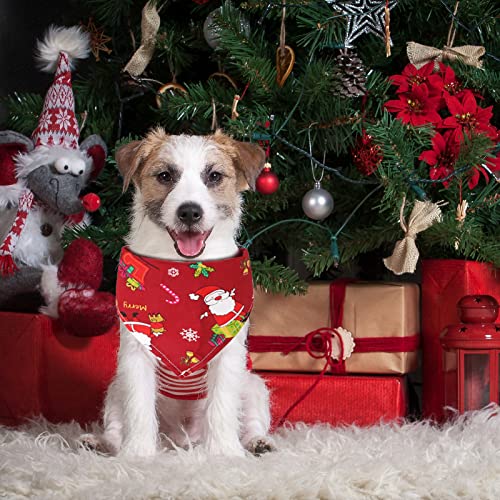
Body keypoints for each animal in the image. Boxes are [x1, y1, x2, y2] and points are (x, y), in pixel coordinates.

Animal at [98, 129, 274, 458]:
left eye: (214, 176)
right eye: (165, 175)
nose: (190, 212)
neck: (182, 272)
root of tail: (183, 440)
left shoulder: (227, 354)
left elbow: (222, 406)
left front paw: (223, 453)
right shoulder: (136, 354)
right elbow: (138, 408)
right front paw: (137, 454)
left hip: (252, 385)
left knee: (252, 421)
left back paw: (257, 443)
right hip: (116, 388)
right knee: (116, 424)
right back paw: (103, 443)